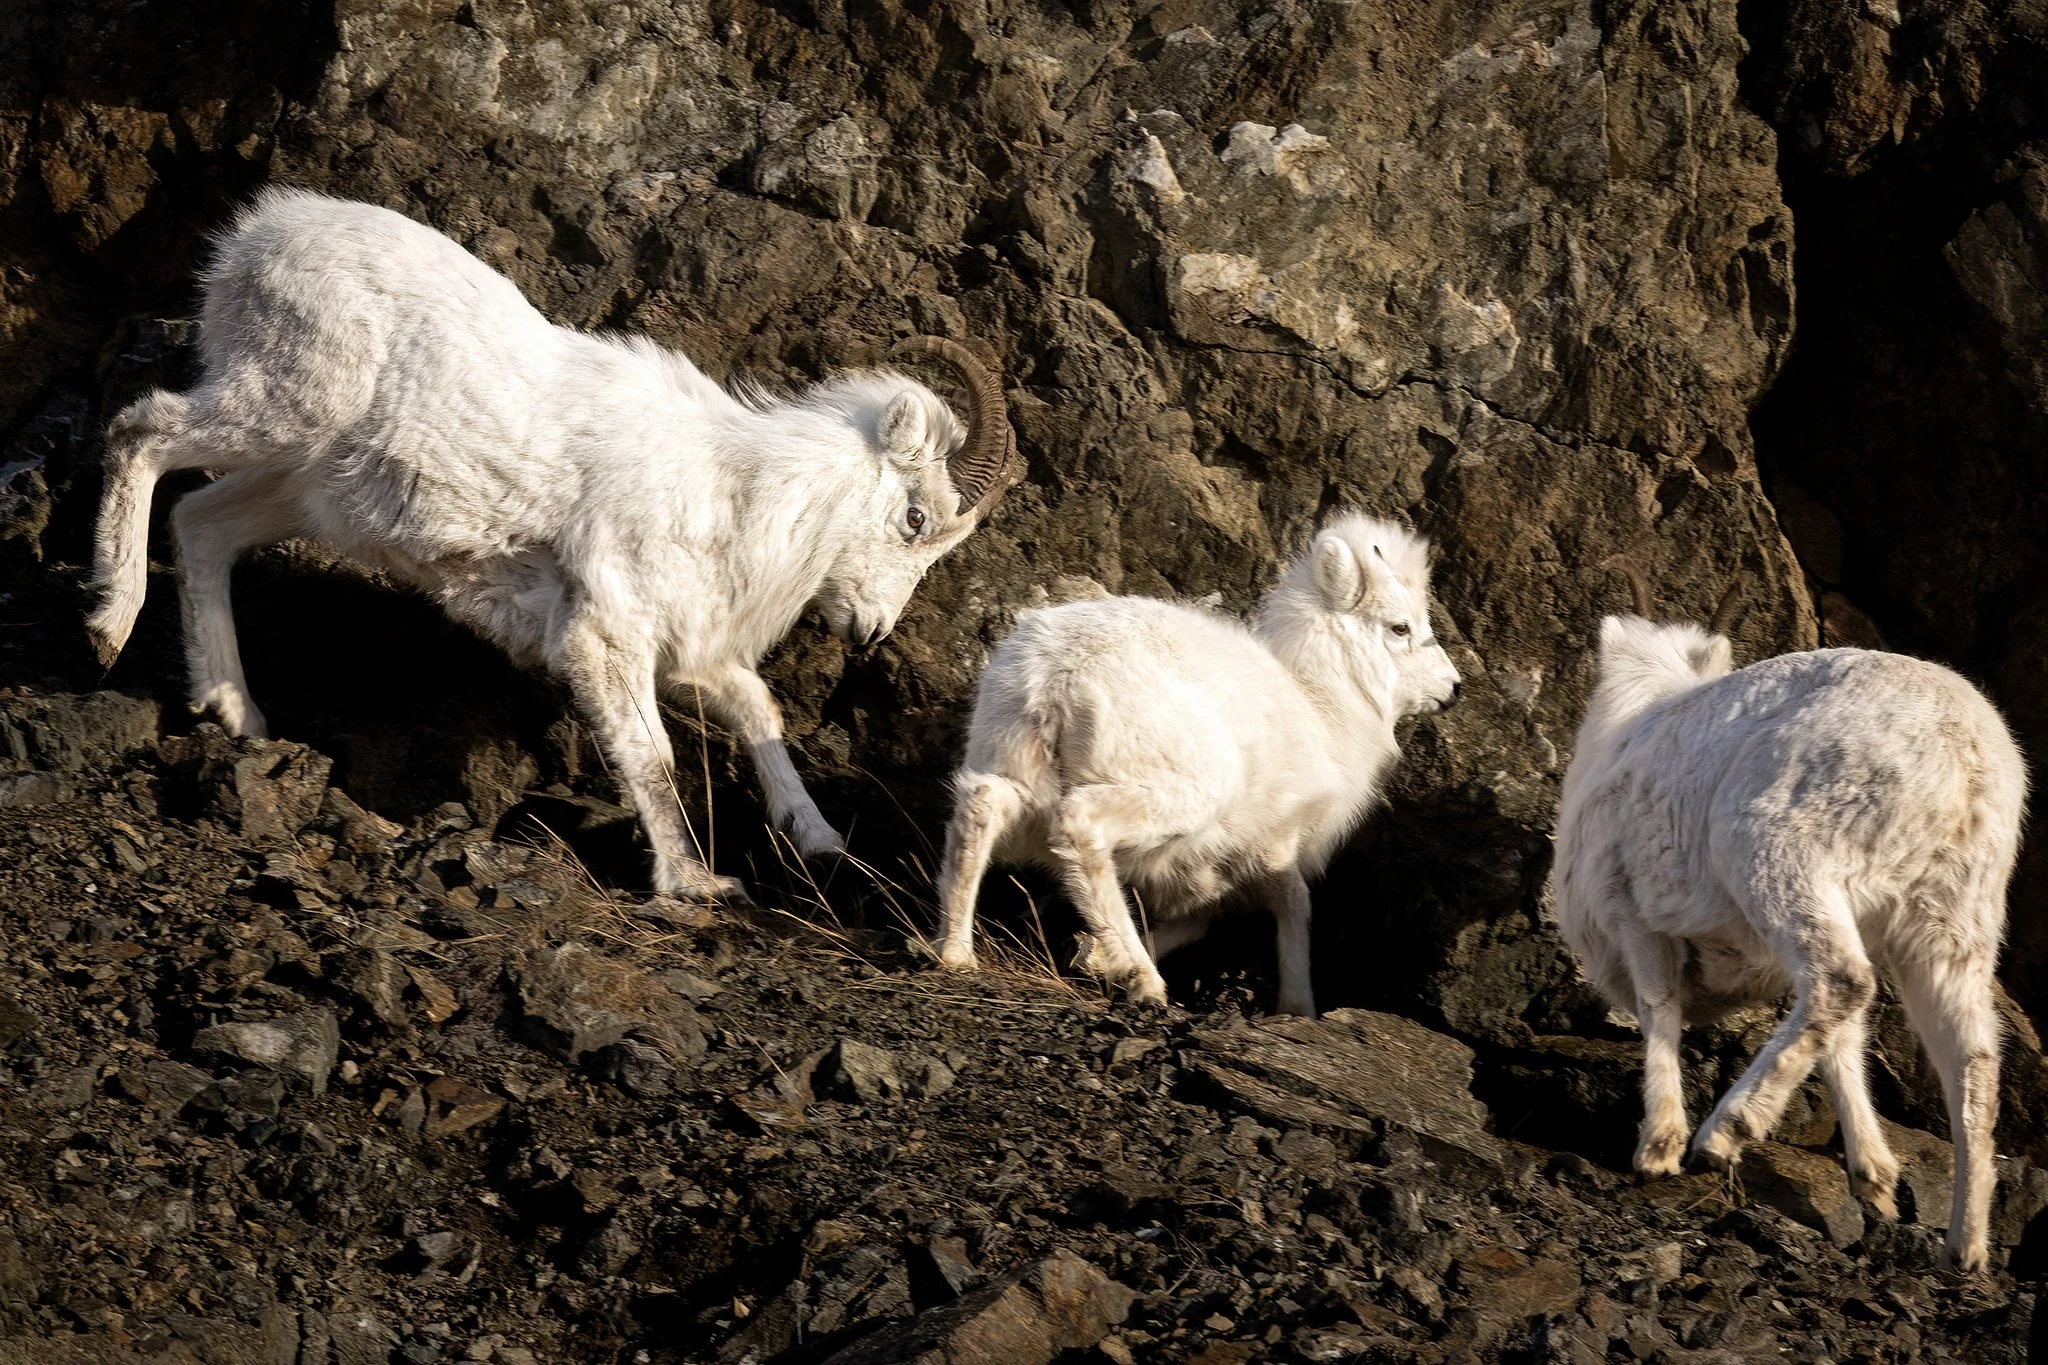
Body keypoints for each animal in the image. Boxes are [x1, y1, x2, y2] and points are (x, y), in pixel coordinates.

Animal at [87, 188, 1023, 901]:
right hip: (277, 409)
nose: (870, 630)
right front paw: (695, 885)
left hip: (302, 485)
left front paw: (819, 839)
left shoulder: (687, 649)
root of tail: (255, 239)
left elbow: (757, 711)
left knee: (202, 524)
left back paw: (234, 712)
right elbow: (651, 752)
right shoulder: (605, 636)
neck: (734, 492)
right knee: (141, 432)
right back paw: (108, 627)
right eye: (915, 519)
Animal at [932, 514, 1462, 1014]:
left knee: (982, 806)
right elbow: (1294, 907)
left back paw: (955, 953)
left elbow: (1198, 922)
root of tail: (1057, 675)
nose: (1453, 689)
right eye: (1400, 627)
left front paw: (1090, 957)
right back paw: (1141, 979)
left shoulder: (1203, 870)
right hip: (1174, 792)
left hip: (1016, 767)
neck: (1322, 703)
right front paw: (1298, 1008)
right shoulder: (1274, 847)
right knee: (1080, 828)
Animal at [1549, 560, 2027, 1271]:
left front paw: (1657, 1148)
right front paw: (1876, 1182)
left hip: (1779, 852)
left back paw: (1724, 1133)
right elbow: (1845, 1047)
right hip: (1949, 922)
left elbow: (1660, 1009)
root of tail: (1962, 757)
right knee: (1969, 1061)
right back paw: (1963, 1250)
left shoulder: (1631, 910)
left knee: (1842, 983)